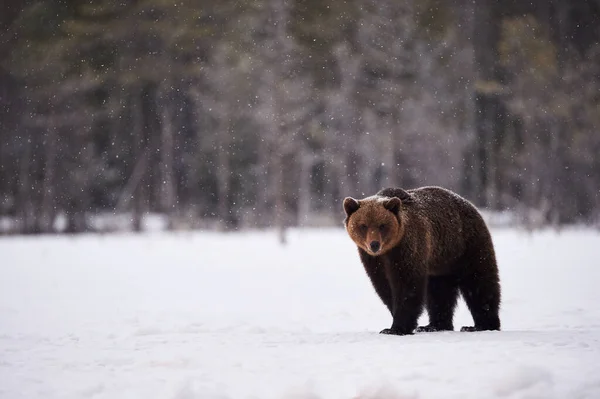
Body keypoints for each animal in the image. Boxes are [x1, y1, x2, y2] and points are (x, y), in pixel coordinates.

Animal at [342, 186, 502, 336]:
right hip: (440, 262)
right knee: (439, 291)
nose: (374, 244)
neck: (389, 250)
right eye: (363, 225)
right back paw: (435, 325)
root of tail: (471, 206)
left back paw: (480, 325)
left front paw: (396, 328)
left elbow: (407, 284)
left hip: (466, 245)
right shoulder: (374, 260)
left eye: (382, 225)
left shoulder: (408, 248)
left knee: (479, 281)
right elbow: (384, 286)